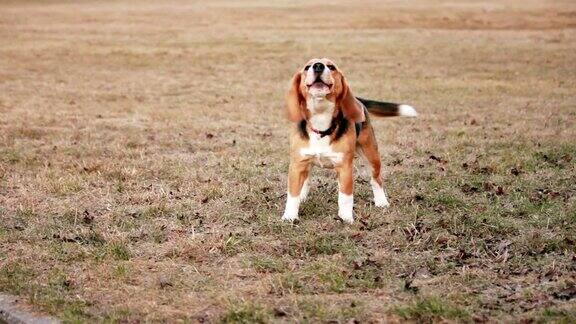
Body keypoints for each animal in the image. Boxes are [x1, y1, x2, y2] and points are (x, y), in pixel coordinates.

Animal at [282, 58, 416, 224]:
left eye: (331, 67)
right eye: (307, 67)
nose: (318, 66)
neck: (321, 119)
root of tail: (358, 100)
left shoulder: (345, 166)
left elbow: (346, 196)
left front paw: (345, 217)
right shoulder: (297, 164)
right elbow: (292, 194)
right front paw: (290, 216)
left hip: (371, 154)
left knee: (376, 179)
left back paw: (381, 201)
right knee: (306, 178)